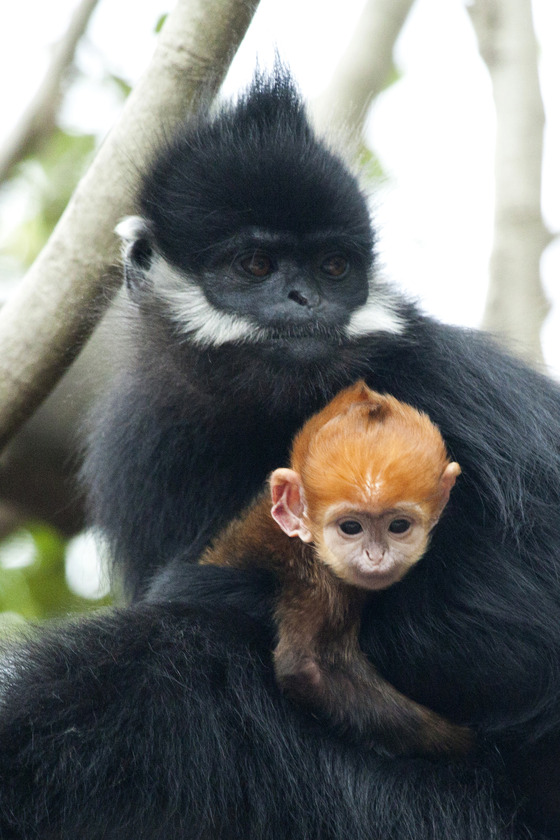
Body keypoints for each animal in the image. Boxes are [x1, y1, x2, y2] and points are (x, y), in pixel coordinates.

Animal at [199, 380, 466, 756]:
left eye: (398, 526)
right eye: (351, 527)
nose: (375, 556)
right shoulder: (317, 584)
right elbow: (305, 669)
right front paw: (466, 741)